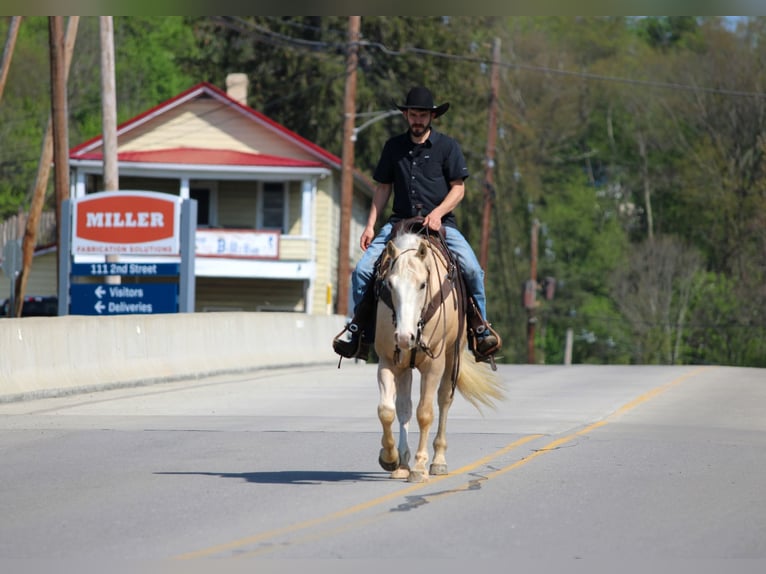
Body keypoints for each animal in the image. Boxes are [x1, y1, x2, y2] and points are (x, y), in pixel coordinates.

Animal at [374, 227, 505, 483]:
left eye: (423, 284)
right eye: (390, 285)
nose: (404, 337)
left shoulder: (433, 366)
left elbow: (425, 413)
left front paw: (419, 467)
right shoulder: (387, 361)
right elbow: (387, 411)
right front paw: (390, 457)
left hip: (453, 356)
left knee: (444, 400)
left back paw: (437, 461)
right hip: (405, 367)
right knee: (404, 407)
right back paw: (402, 463)